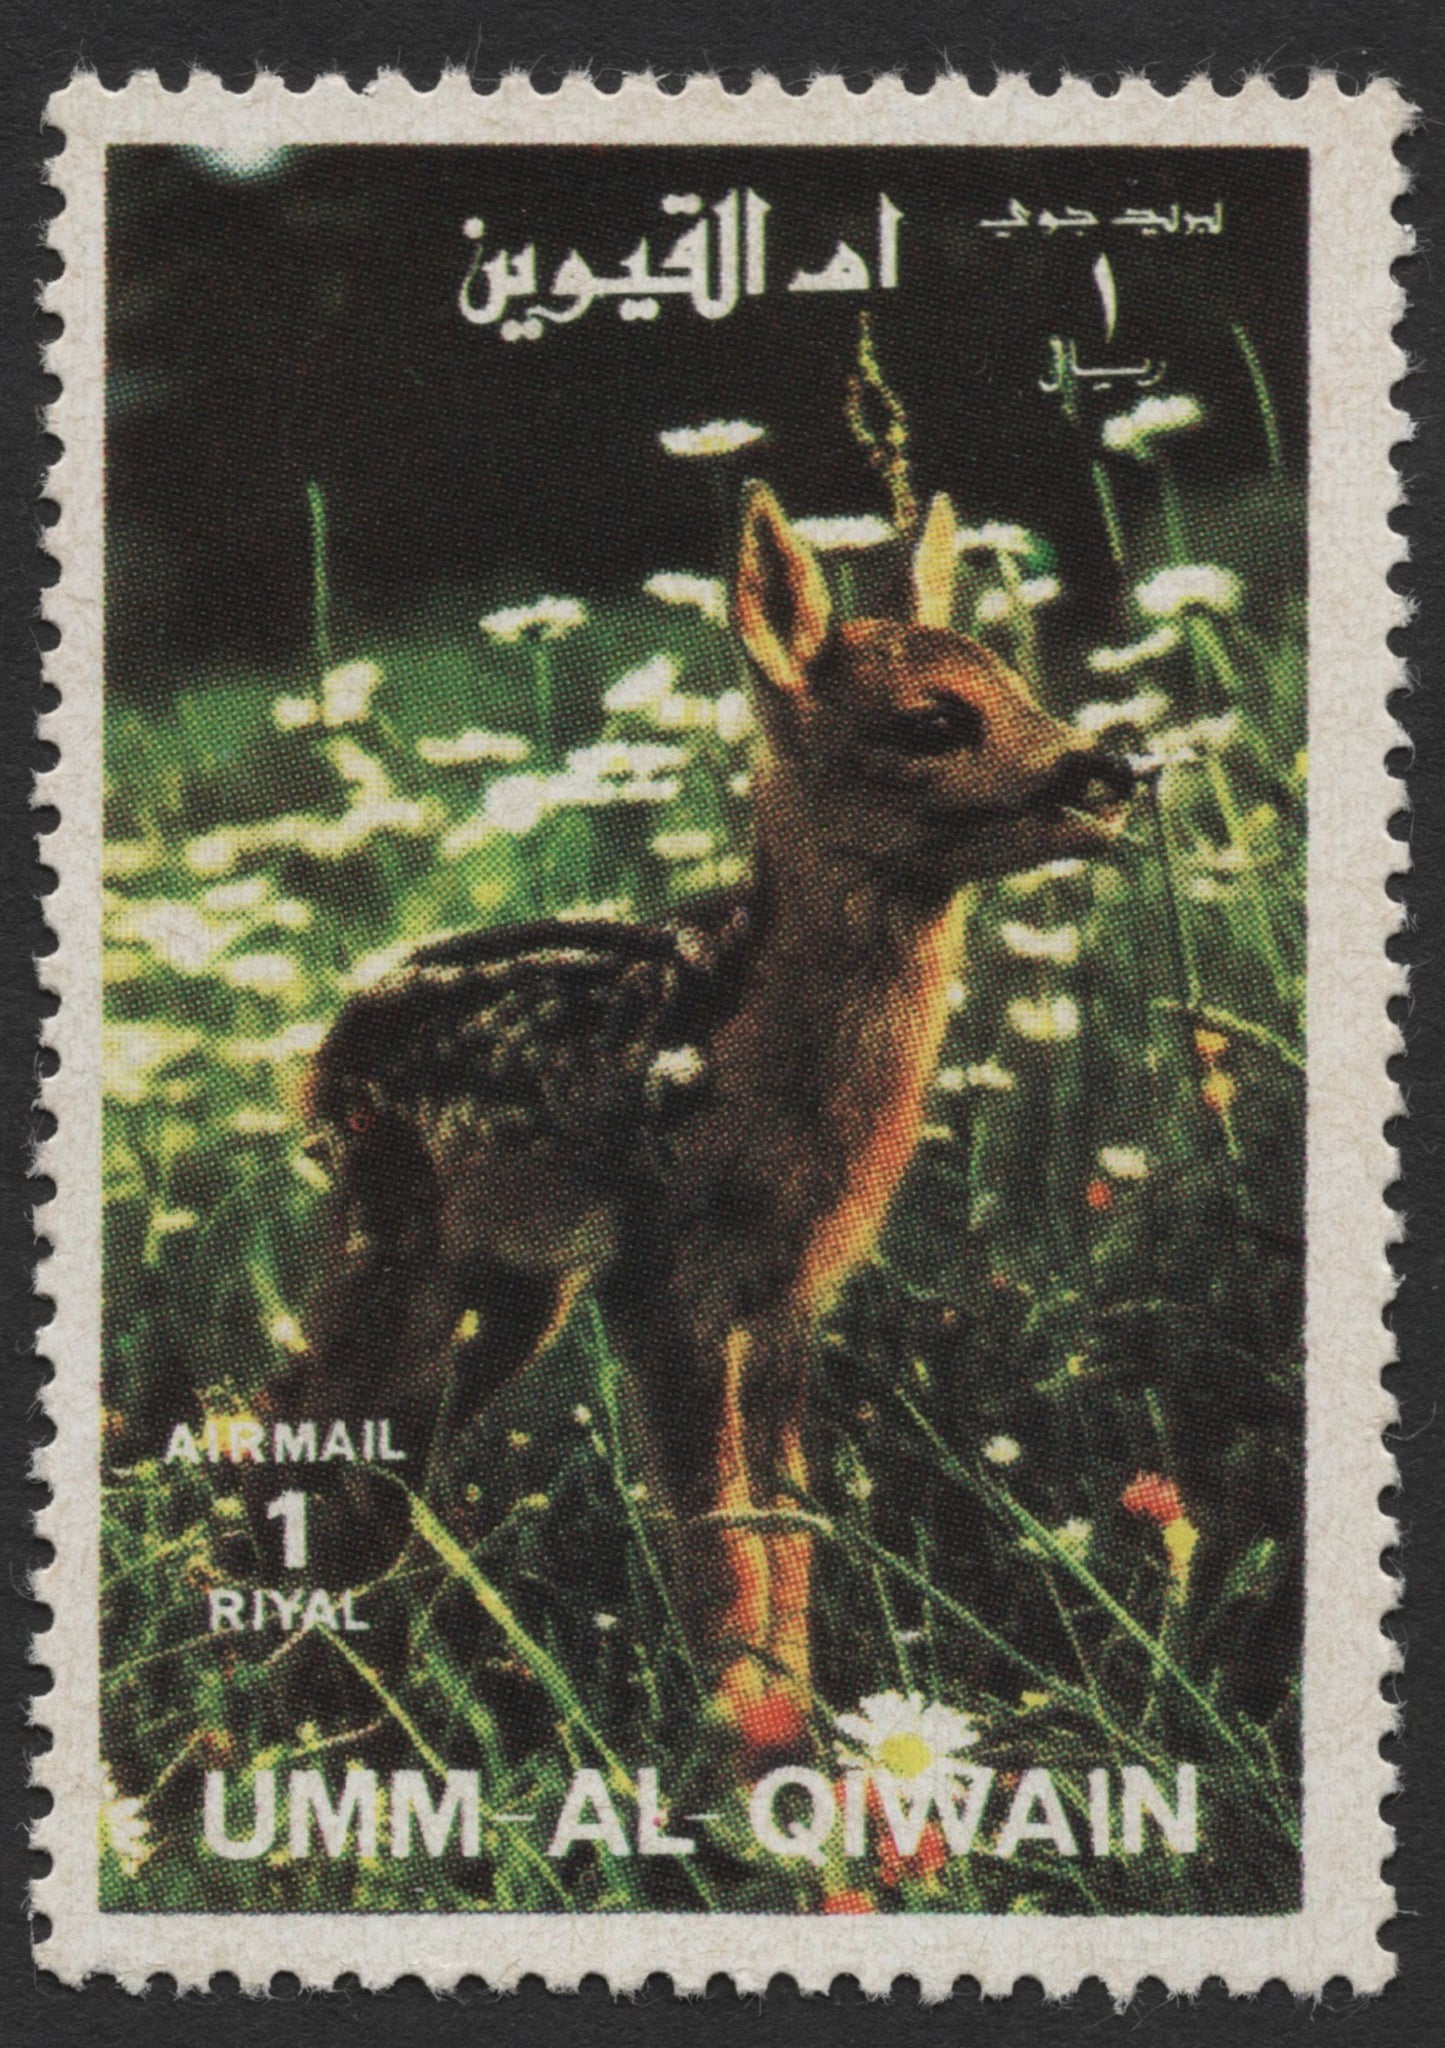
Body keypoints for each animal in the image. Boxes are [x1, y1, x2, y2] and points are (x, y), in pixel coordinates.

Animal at [262, 482, 1134, 1765]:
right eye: (931, 721)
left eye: (1019, 686)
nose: (1111, 766)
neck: (754, 1063)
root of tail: (320, 1064)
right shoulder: (657, 1276)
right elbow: (717, 1532)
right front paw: (744, 1744)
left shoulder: (784, 1295)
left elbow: (787, 1524)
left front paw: (803, 1724)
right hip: (399, 1245)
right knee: (303, 1414)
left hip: (518, 1287)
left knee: (393, 1447)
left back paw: (393, 1679)